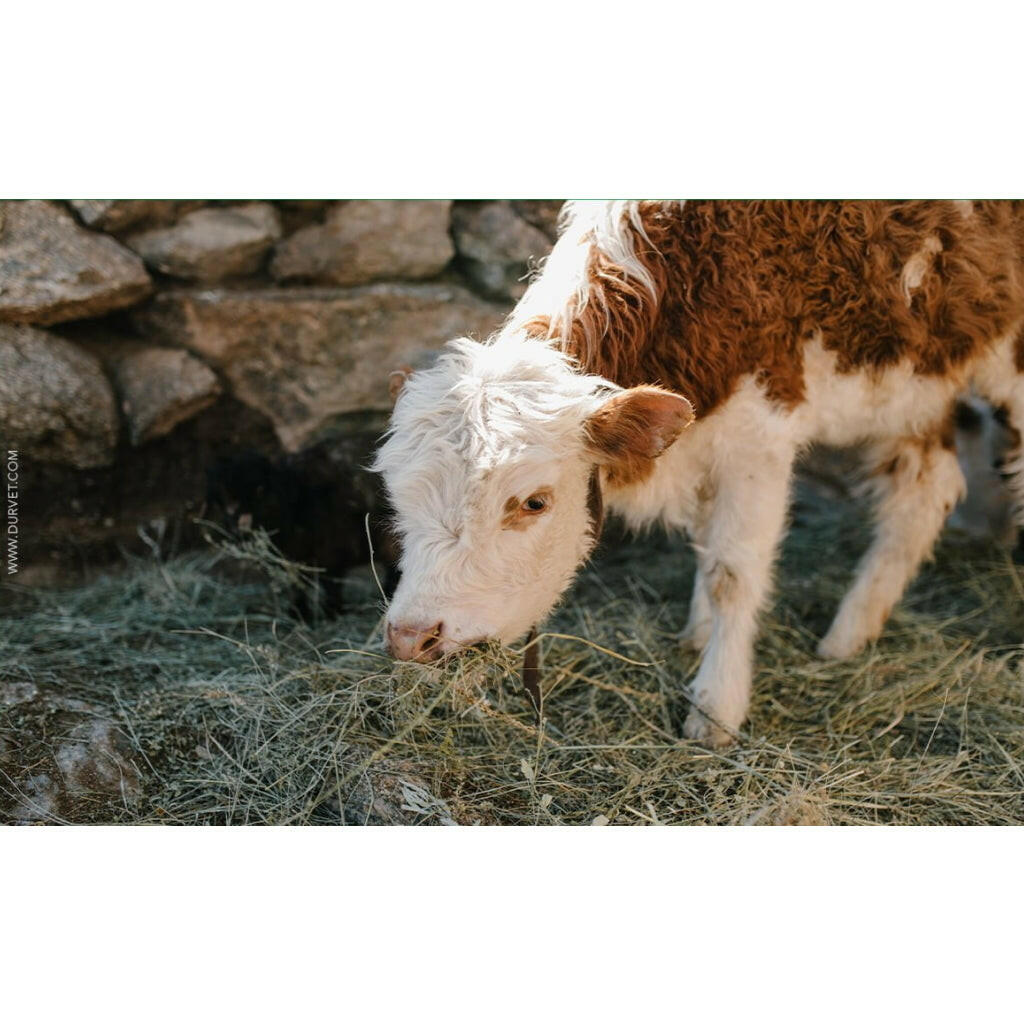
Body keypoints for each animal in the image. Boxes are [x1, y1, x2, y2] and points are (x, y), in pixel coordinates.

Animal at [374, 201, 1024, 746]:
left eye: (533, 502)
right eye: (398, 502)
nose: (411, 636)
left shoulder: (759, 434)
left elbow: (732, 573)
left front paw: (716, 708)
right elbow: (707, 543)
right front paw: (697, 633)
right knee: (927, 491)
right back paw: (848, 635)